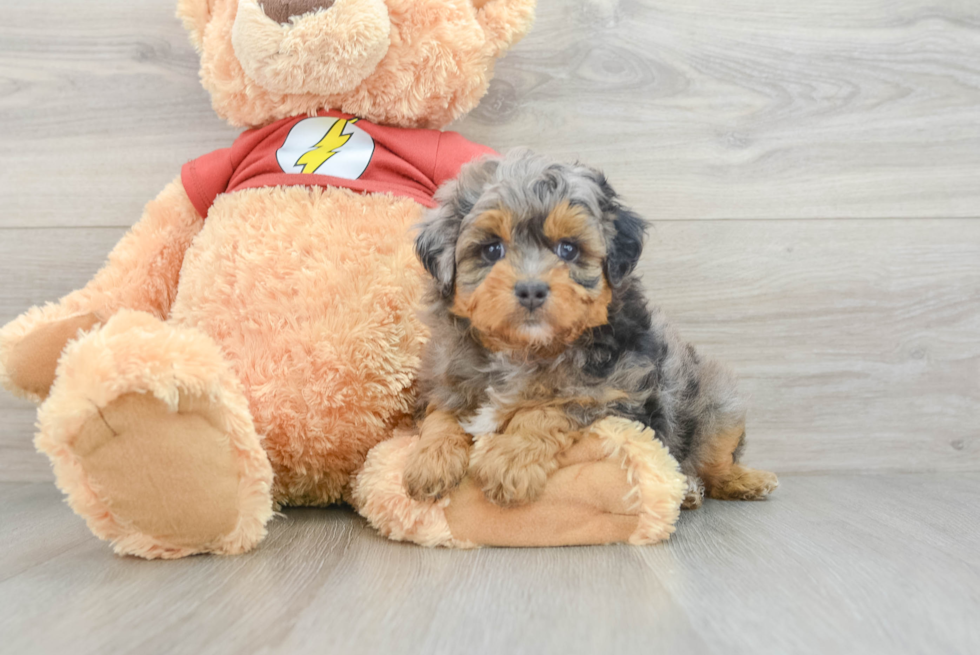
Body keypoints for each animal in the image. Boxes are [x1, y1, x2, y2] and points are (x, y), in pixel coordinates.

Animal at [402, 147, 776, 508]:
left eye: (568, 249)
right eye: (492, 249)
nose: (531, 290)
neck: (525, 350)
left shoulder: (616, 395)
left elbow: (549, 409)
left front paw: (509, 460)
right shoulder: (448, 383)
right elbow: (441, 416)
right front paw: (430, 461)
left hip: (715, 405)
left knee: (715, 463)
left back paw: (739, 482)